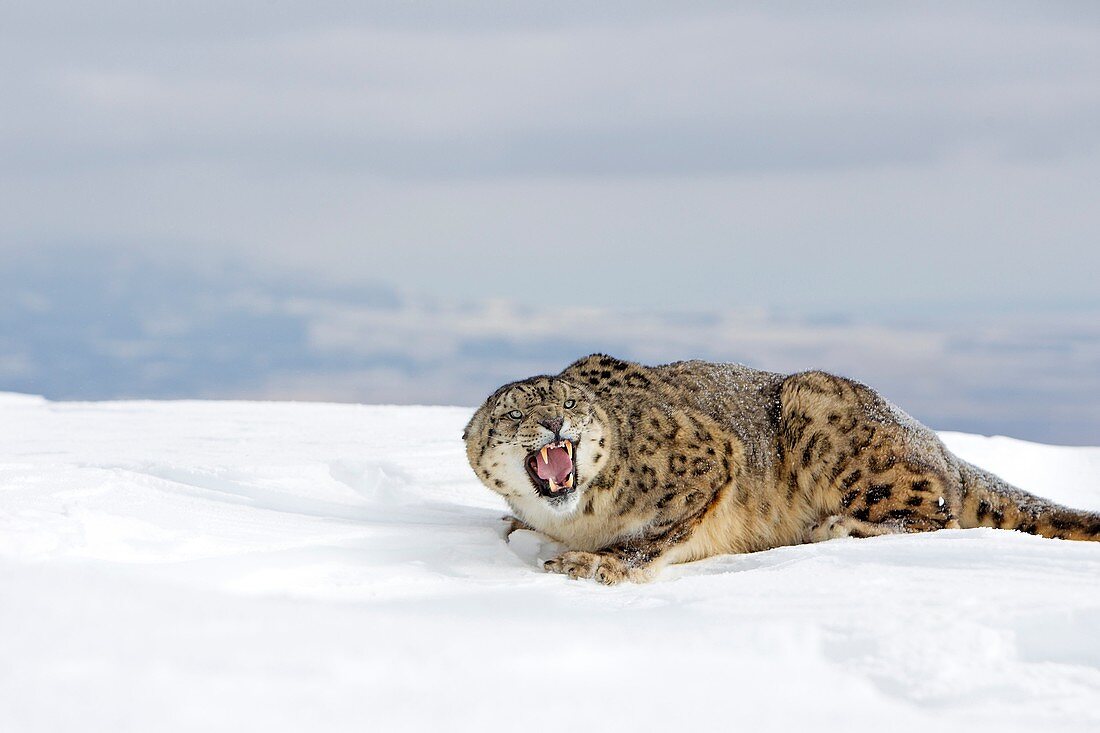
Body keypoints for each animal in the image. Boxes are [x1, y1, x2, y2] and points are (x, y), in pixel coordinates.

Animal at [464, 352, 1100, 581]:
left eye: (570, 404)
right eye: (513, 413)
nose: (553, 424)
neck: (576, 517)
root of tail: (941, 447)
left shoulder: (711, 457)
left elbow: (658, 532)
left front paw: (594, 564)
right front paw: (518, 531)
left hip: (821, 415)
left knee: (935, 510)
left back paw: (835, 526)